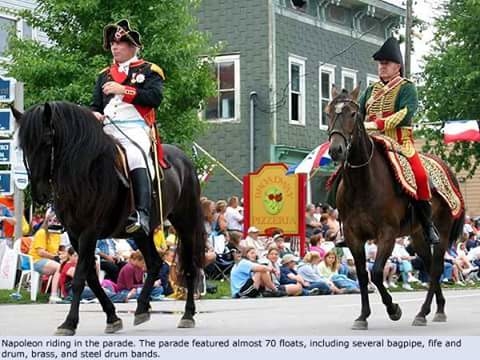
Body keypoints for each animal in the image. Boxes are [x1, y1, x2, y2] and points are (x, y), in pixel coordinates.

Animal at [13, 100, 204, 334]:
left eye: (47, 140)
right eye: (23, 146)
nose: (39, 193)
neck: (86, 170)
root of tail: (183, 159)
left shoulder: (89, 232)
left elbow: (80, 277)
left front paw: (69, 322)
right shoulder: (76, 235)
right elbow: (91, 278)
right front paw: (112, 317)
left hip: (185, 223)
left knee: (189, 267)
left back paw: (187, 314)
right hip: (142, 233)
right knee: (155, 263)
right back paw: (142, 308)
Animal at [326, 86, 464, 330]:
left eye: (353, 114)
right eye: (328, 113)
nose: (336, 150)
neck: (363, 182)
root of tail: (447, 170)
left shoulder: (387, 234)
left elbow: (376, 273)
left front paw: (393, 309)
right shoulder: (353, 236)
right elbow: (362, 275)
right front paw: (362, 316)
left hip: (443, 232)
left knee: (436, 268)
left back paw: (423, 312)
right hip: (417, 235)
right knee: (429, 266)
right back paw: (438, 309)